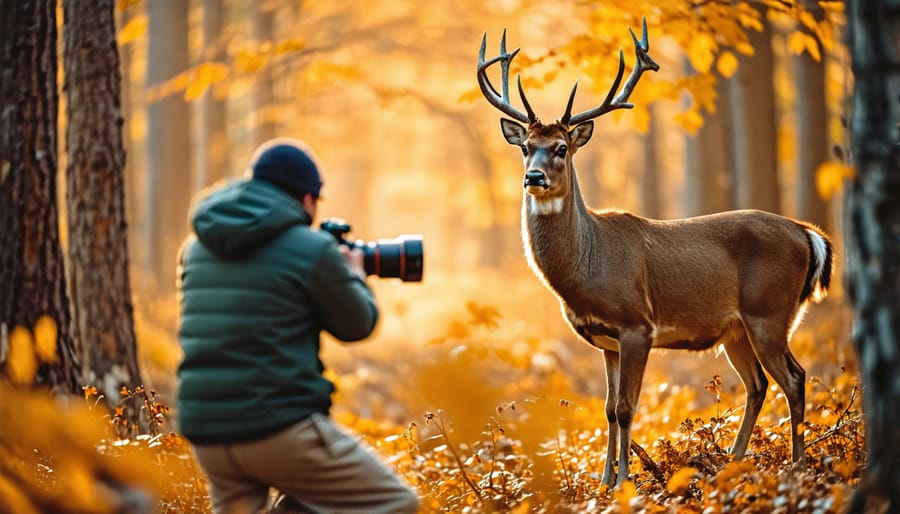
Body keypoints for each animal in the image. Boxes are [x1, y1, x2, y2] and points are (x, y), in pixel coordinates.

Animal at [474, 18, 832, 486]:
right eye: (524, 147)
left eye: (561, 148)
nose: (533, 177)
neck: (587, 267)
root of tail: (808, 234)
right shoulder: (604, 339)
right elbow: (608, 410)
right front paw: (603, 482)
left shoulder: (636, 324)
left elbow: (627, 408)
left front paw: (625, 481)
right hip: (736, 329)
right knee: (758, 385)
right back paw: (732, 462)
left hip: (769, 311)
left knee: (794, 377)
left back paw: (798, 466)